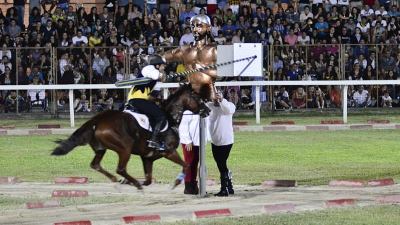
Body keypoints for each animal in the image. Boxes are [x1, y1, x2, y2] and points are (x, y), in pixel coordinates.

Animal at [51, 84, 206, 190]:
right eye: (197, 97)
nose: (208, 110)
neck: (170, 118)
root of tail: (98, 119)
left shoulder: (147, 158)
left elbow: (148, 180)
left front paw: (131, 182)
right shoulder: (169, 152)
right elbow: (186, 165)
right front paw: (176, 182)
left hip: (101, 148)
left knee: (96, 165)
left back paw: (119, 180)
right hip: (125, 148)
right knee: (120, 169)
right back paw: (133, 182)